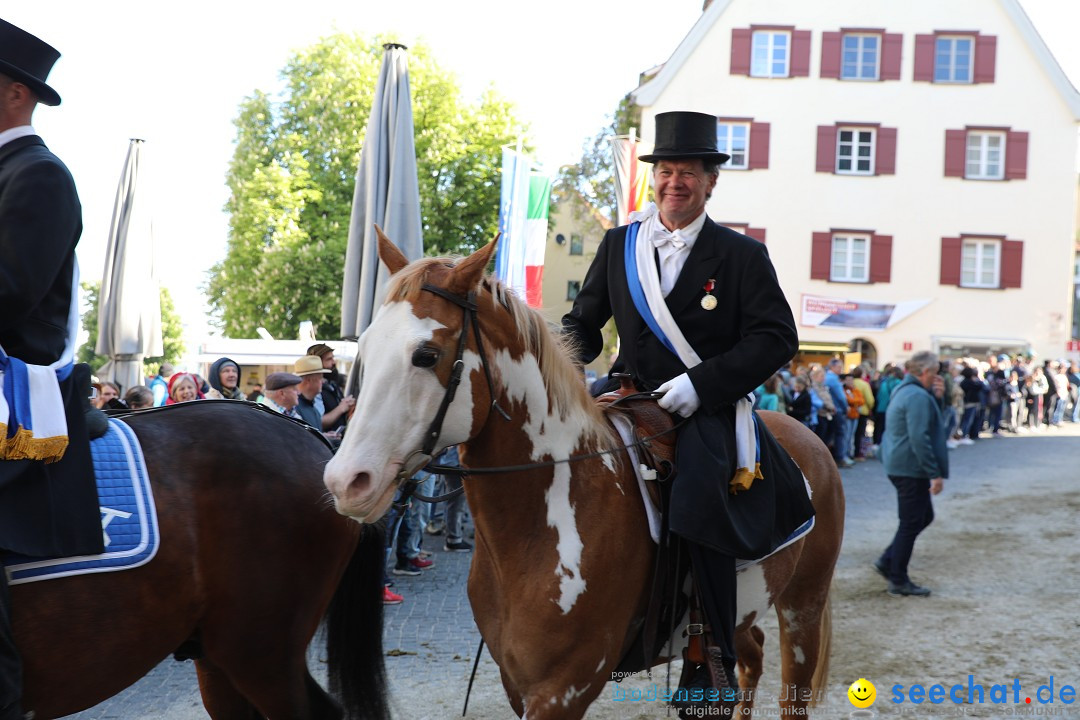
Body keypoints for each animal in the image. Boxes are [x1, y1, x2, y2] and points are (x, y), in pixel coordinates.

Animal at [324, 235, 846, 720]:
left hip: (803, 607)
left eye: (426, 355)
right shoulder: (519, 685)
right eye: (364, 348)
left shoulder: (563, 689)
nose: (345, 480)